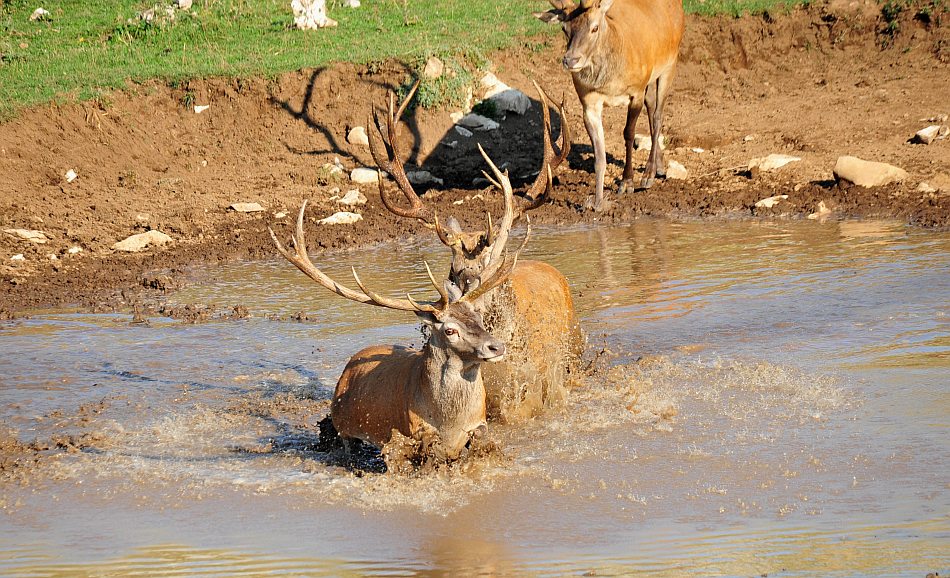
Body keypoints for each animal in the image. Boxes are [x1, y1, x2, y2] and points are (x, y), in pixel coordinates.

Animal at [270, 201, 520, 460]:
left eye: (478, 317)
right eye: (450, 331)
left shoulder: (479, 422)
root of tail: (350, 364)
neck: (450, 425)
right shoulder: (413, 432)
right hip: (342, 422)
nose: (497, 346)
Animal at [536, 0, 684, 210]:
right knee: (651, 105)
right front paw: (597, 201)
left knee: (658, 115)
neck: (611, 81)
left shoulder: (636, 91)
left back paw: (649, 174)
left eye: (594, 27)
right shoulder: (589, 102)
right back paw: (660, 166)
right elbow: (599, 155)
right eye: (564, 28)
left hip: (670, 63)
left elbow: (629, 134)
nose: (571, 60)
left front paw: (627, 182)